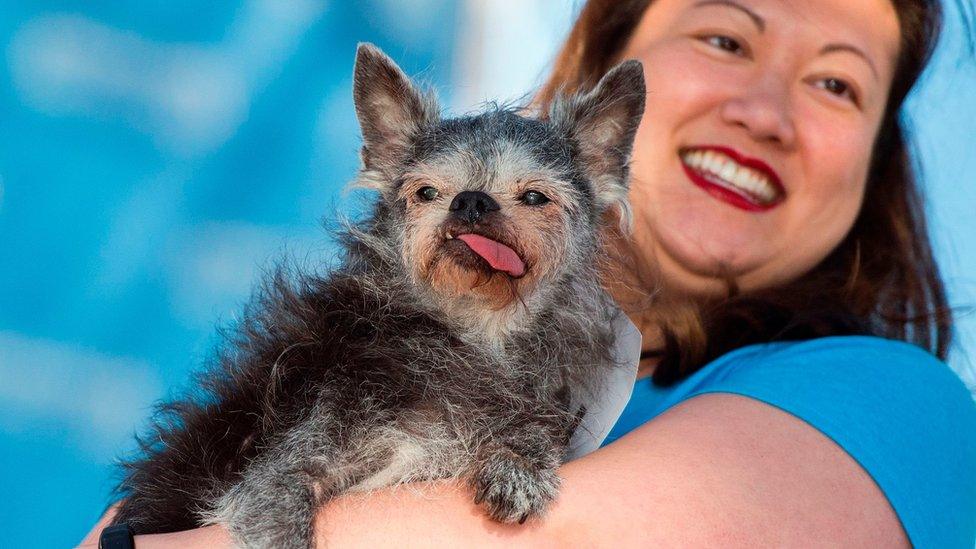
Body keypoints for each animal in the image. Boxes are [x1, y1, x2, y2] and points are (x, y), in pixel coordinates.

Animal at [107, 44, 644, 548]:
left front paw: (518, 463)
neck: (469, 335)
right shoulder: (280, 475)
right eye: (426, 192)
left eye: (535, 197)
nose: (470, 200)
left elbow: (530, 427)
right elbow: (278, 508)